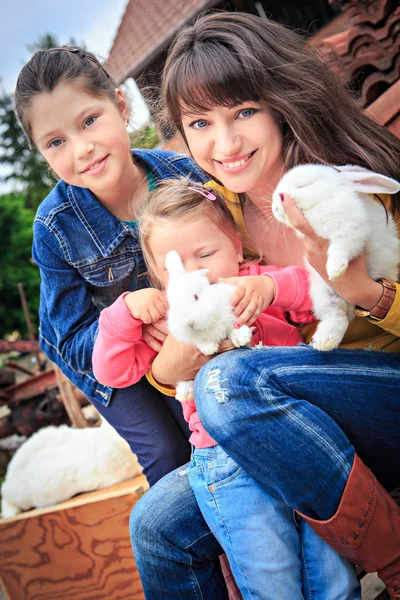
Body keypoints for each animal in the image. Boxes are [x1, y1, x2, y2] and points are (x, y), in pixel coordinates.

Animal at [165, 251, 252, 400]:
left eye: (196, 297)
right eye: (172, 306)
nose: (188, 323)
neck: (209, 323)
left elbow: (234, 325)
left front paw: (241, 337)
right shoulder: (194, 338)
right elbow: (201, 341)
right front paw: (210, 349)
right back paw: (184, 392)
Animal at [272, 164, 400, 352]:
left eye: (302, 186)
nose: (275, 208)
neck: (322, 201)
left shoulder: (351, 231)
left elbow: (340, 248)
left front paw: (335, 270)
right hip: (323, 294)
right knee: (338, 316)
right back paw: (324, 342)